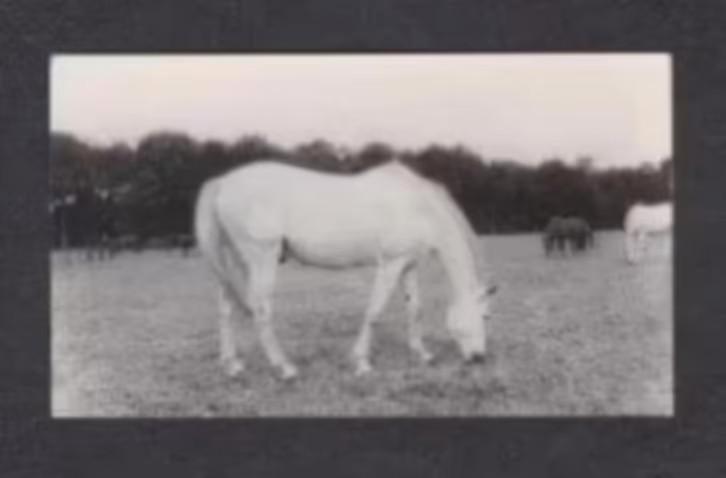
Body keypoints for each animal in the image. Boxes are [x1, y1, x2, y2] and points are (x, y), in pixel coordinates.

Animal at [194, 160, 497, 380]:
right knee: (260, 310)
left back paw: (232, 365)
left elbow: (415, 309)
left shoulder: (408, 265)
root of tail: (223, 183)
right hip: (262, 259)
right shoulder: (390, 264)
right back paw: (285, 368)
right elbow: (374, 312)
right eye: (485, 315)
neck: (417, 206)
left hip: (234, 262)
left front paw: (422, 354)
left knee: (226, 310)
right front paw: (361, 362)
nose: (479, 358)